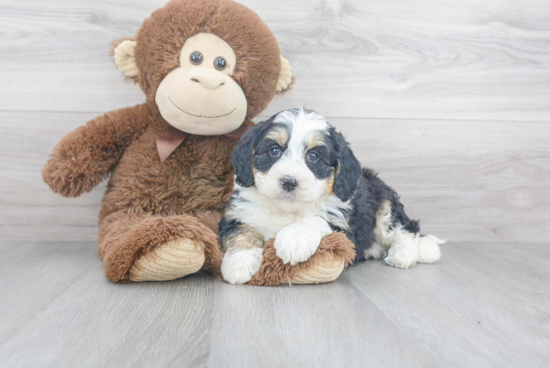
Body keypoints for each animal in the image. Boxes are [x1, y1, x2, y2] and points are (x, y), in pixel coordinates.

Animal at [218, 106, 446, 284]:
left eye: (313, 156)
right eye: (274, 150)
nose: (289, 181)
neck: (287, 209)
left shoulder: (345, 230)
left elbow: (318, 219)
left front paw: (293, 239)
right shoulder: (236, 214)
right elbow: (243, 232)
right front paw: (239, 262)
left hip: (385, 203)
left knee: (406, 227)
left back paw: (407, 253)